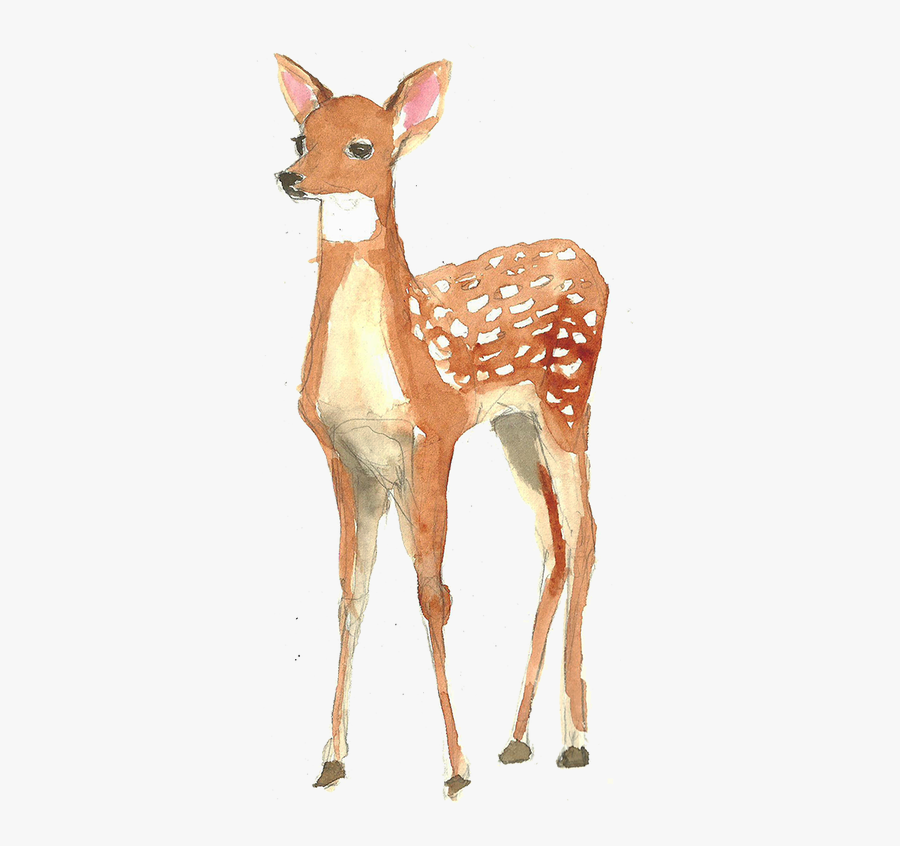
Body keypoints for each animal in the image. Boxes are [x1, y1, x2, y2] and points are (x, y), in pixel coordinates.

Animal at [274, 54, 609, 796]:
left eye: (361, 146)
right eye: (300, 138)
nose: (289, 177)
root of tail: (590, 260)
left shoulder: (433, 433)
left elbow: (434, 595)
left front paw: (456, 767)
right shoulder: (344, 455)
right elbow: (351, 593)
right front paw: (332, 757)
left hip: (569, 398)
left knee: (586, 530)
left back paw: (574, 740)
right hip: (515, 426)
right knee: (553, 540)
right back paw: (517, 739)